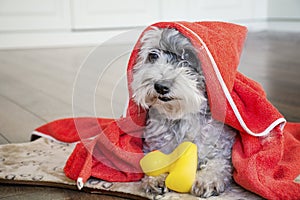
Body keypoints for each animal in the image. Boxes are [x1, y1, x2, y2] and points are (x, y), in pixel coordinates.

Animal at [131, 27, 237, 198]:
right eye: (153, 55)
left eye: (188, 57)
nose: (160, 86)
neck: (181, 116)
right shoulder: (154, 144)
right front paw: (156, 178)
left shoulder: (221, 149)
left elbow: (218, 164)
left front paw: (206, 180)